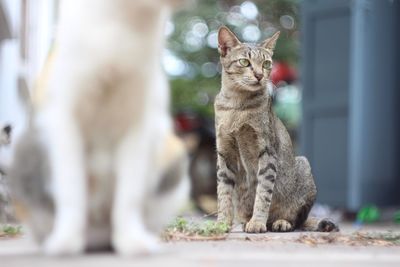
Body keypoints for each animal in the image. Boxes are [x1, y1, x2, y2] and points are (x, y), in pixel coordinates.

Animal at [8, 0, 190, 256]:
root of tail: (96, 238)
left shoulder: (140, 123)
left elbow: (130, 195)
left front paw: (133, 242)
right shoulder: (64, 117)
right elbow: (71, 189)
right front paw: (65, 243)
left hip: (173, 152)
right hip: (26, 148)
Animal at [214, 26, 340, 233]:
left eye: (266, 63)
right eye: (244, 62)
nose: (259, 75)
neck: (237, 106)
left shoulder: (267, 151)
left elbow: (263, 192)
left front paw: (257, 222)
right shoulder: (224, 153)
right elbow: (223, 193)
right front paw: (222, 223)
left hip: (304, 166)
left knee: (298, 220)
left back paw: (280, 222)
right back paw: (245, 222)